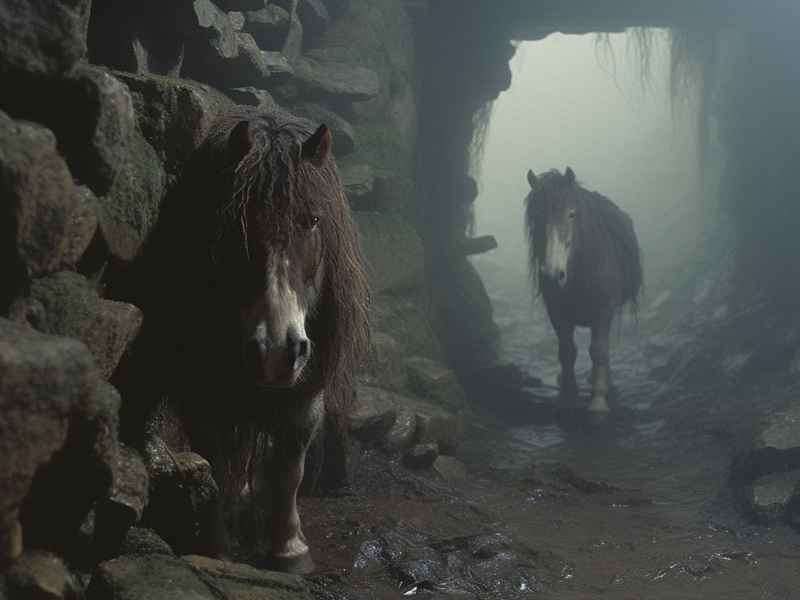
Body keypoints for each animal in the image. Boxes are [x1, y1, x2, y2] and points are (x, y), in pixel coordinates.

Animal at [119, 105, 370, 573]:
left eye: (312, 220)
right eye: (236, 225)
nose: (275, 351)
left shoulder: (306, 388)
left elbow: (290, 466)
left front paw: (289, 549)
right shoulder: (201, 388)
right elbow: (217, 461)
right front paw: (216, 546)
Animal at [524, 167, 642, 413]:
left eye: (571, 214)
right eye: (537, 216)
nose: (552, 275)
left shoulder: (604, 312)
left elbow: (599, 352)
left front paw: (598, 401)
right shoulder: (557, 314)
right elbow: (567, 351)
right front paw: (568, 394)